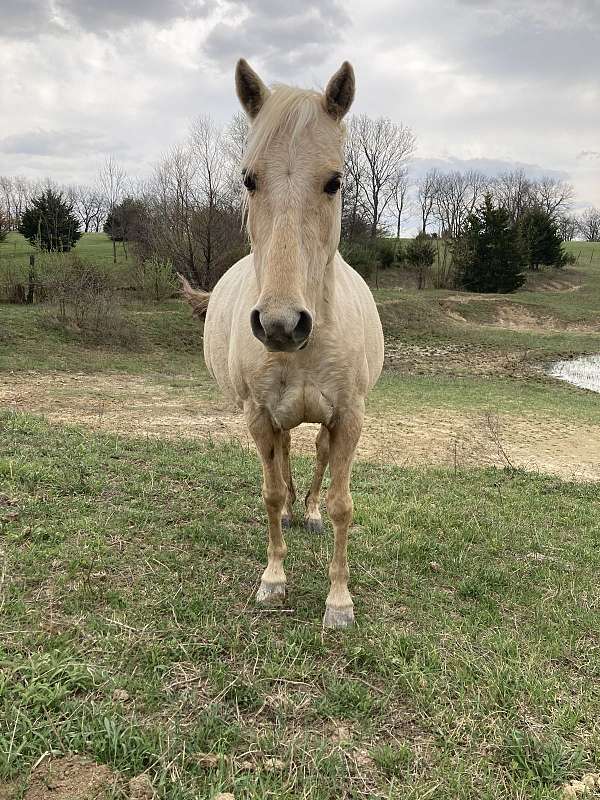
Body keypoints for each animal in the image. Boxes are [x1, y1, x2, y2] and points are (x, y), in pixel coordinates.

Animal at [182, 59, 384, 628]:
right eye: (248, 179)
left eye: (334, 181)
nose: (280, 325)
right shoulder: (258, 415)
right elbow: (270, 494)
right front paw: (273, 579)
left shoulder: (349, 417)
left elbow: (342, 504)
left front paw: (339, 601)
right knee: (290, 456)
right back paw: (297, 508)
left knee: (315, 455)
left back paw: (308, 511)